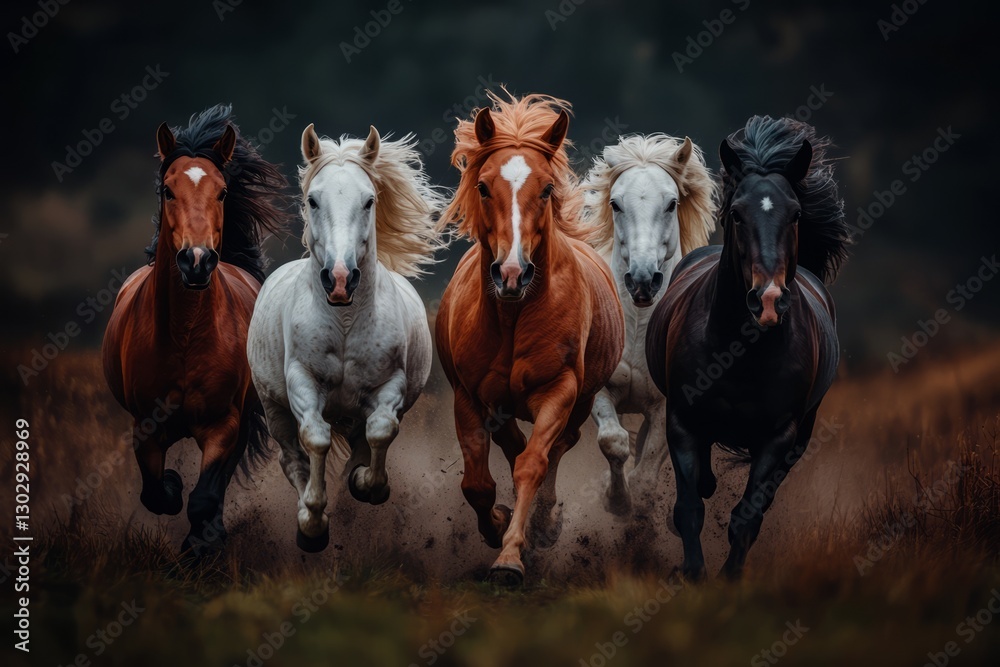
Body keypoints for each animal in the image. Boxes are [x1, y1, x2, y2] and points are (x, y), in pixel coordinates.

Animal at [102, 104, 289, 553]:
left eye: (221, 192)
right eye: (167, 191)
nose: (198, 260)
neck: (185, 336)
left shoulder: (225, 423)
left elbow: (205, 495)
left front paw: (202, 544)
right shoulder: (146, 426)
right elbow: (155, 492)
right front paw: (172, 487)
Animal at [247, 124, 445, 552]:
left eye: (369, 200)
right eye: (312, 200)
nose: (339, 279)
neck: (344, 321)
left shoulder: (389, 386)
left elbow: (380, 432)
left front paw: (365, 483)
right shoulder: (302, 381)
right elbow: (316, 439)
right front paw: (313, 522)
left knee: (360, 441)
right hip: (274, 409)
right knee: (292, 457)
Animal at [435, 92, 624, 586]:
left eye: (547, 190)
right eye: (483, 187)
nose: (512, 273)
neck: (512, 316)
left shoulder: (558, 390)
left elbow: (534, 464)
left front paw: (511, 556)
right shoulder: (469, 397)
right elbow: (477, 484)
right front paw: (496, 525)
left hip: (581, 401)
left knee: (557, 447)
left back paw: (545, 523)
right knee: (512, 446)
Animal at [581, 134, 716, 517]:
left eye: (672, 204)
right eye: (615, 204)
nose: (642, 280)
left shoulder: (667, 407)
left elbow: (646, 474)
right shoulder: (600, 391)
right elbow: (613, 441)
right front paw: (615, 500)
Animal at [645, 116, 851, 580]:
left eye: (795, 214)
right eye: (736, 214)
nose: (768, 300)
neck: (740, 356)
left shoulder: (780, 436)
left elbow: (749, 514)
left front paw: (730, 577)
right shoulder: (682, 421)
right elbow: (689, 507)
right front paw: (693, 572)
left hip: (800, 437)